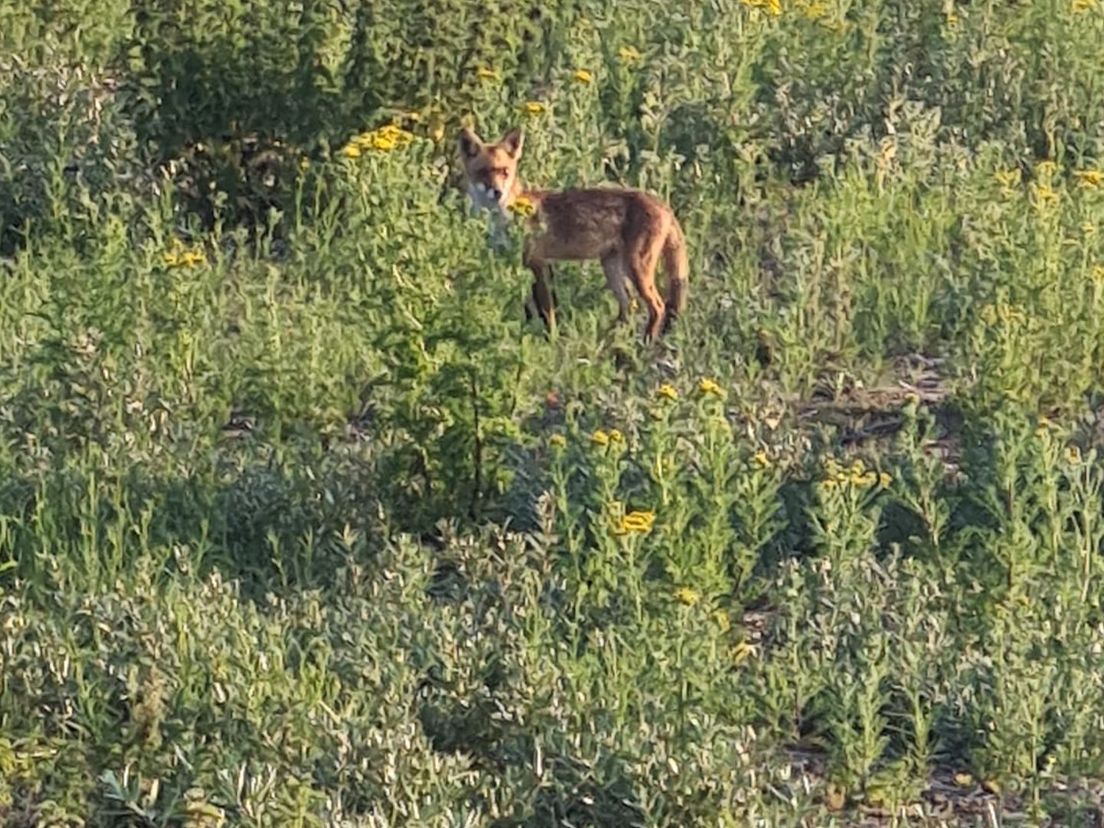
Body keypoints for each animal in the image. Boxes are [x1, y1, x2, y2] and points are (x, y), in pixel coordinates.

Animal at [459, 124, 688, 344]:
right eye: (483, 172)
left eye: (504, 171)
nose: (497, 192)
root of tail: (664, 205)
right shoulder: (519, 264)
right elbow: (528, 309)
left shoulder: (539, 263)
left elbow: (547, 310)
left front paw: (550, 341)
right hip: (612, 268)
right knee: (629, 307)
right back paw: (609, 342)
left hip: (636, 268)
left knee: (658, 307)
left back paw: (645, 343)